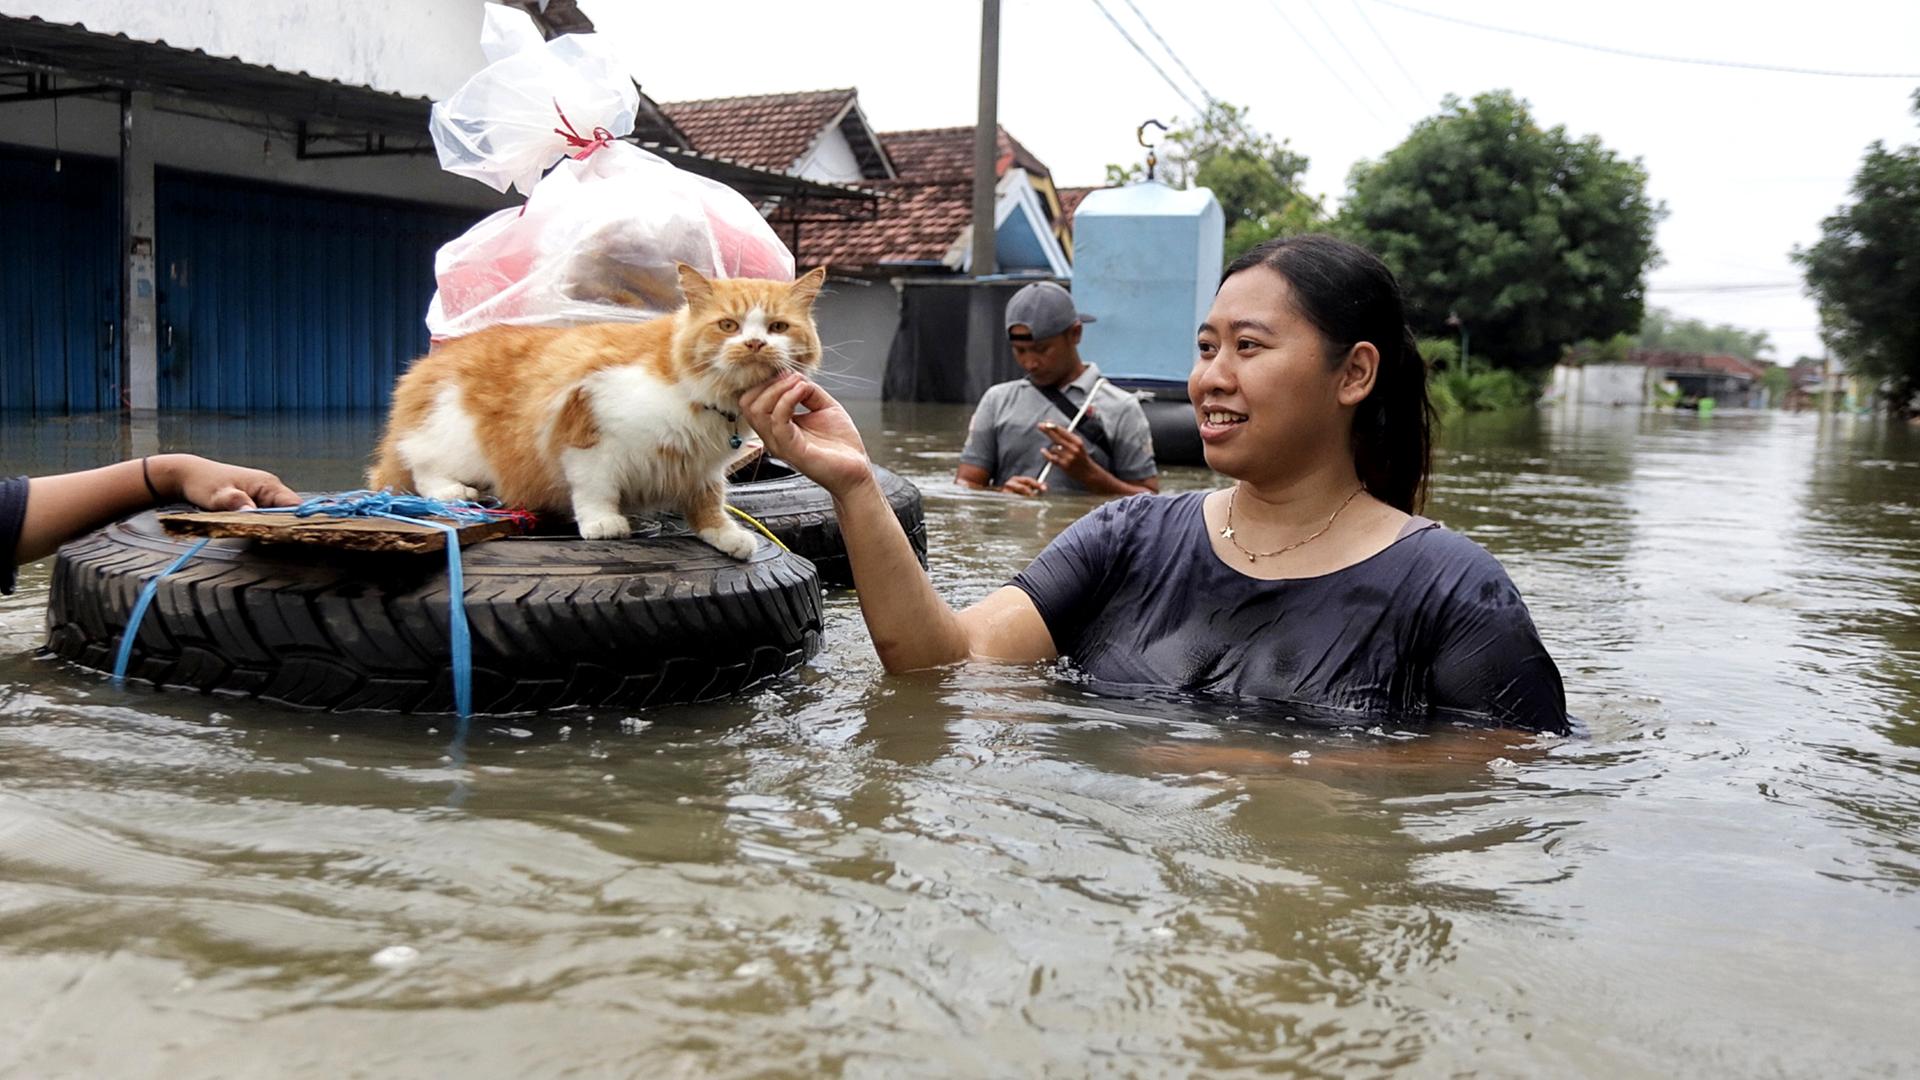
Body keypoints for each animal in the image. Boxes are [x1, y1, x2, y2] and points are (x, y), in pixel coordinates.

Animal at [368, 263, 825, 553]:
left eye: (778, 327)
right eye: (728, 326)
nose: (755, 344)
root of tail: (423, 369)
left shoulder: (702, 469)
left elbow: (709, 505)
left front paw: (726, 536)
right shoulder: (589, 430)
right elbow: (595, 489)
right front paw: (604, 524)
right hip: (454, 436)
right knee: (417, 468)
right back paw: (454, 490)